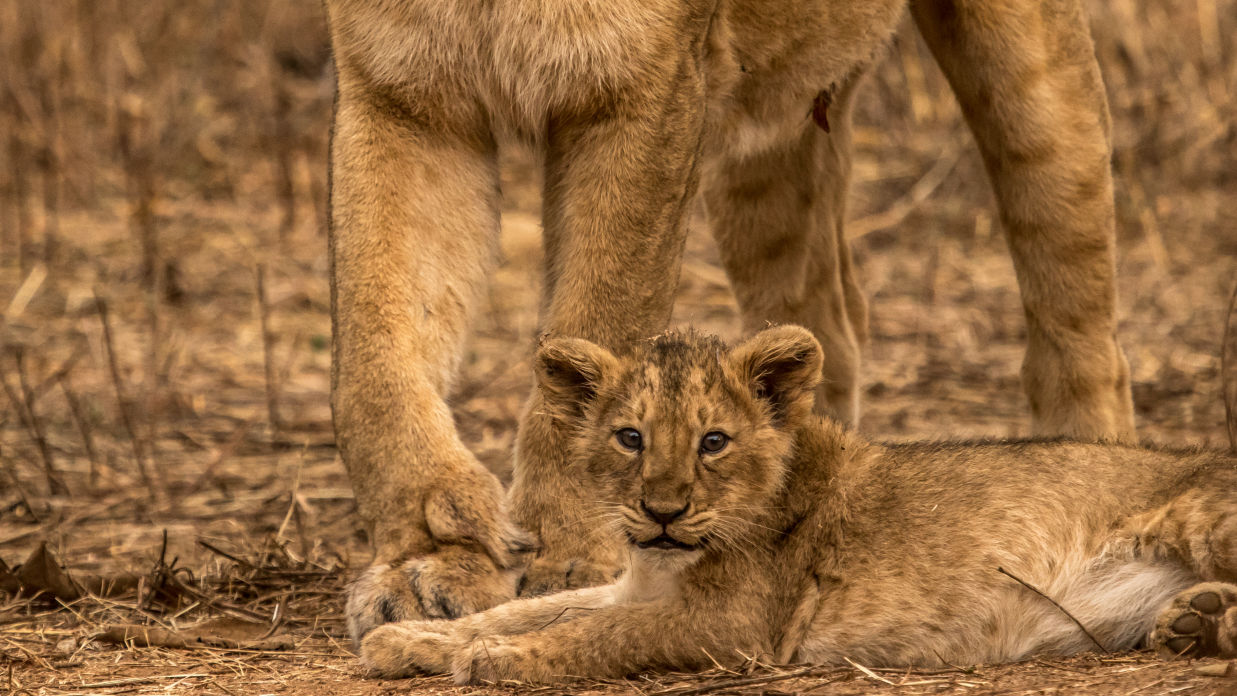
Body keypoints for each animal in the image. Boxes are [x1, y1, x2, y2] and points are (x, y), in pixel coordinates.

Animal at [324, 0, 1133, 642]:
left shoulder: (641, 88)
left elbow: (602, 316)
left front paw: (570, 554)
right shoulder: (404, 90)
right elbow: (374, 352)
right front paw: (428, 560)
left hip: (1025, 79)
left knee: (1076, 311)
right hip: (773, 139)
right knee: (828, 325)